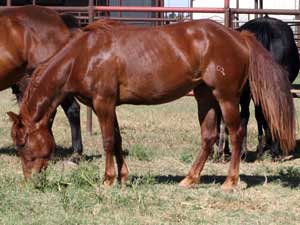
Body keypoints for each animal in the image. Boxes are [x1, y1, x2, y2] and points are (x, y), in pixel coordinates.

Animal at [7, 19, 296, 190]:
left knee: (236, 134)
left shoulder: (103, 103)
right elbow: (118, 140)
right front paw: (123, 177)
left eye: (22, 144)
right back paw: (190, 179)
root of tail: (240, 36)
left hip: (226, 97)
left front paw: (108, 180)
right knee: (208, 136)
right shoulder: (110, 106)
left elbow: (108, 141)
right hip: (205, 97)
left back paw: (230, 181)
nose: (29, 181)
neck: (84, 55)